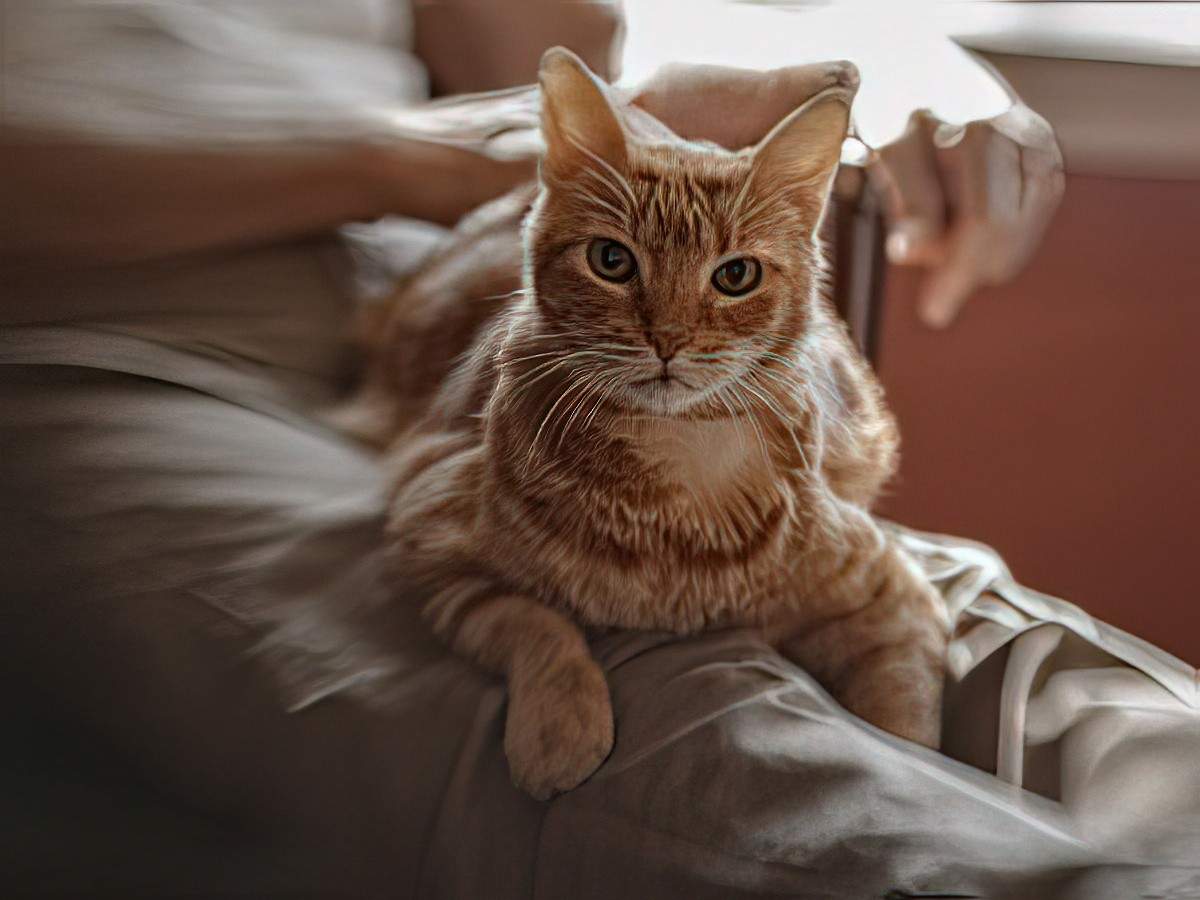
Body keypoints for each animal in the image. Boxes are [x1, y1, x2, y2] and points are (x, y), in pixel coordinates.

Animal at [374, 49, 945, 801]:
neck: (675, 485)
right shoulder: (433, 539)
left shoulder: (894, 598)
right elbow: (536, 625)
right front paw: (560, 729)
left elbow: (903, 727)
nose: (667, 340)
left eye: (736, 275)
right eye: (612, 261)